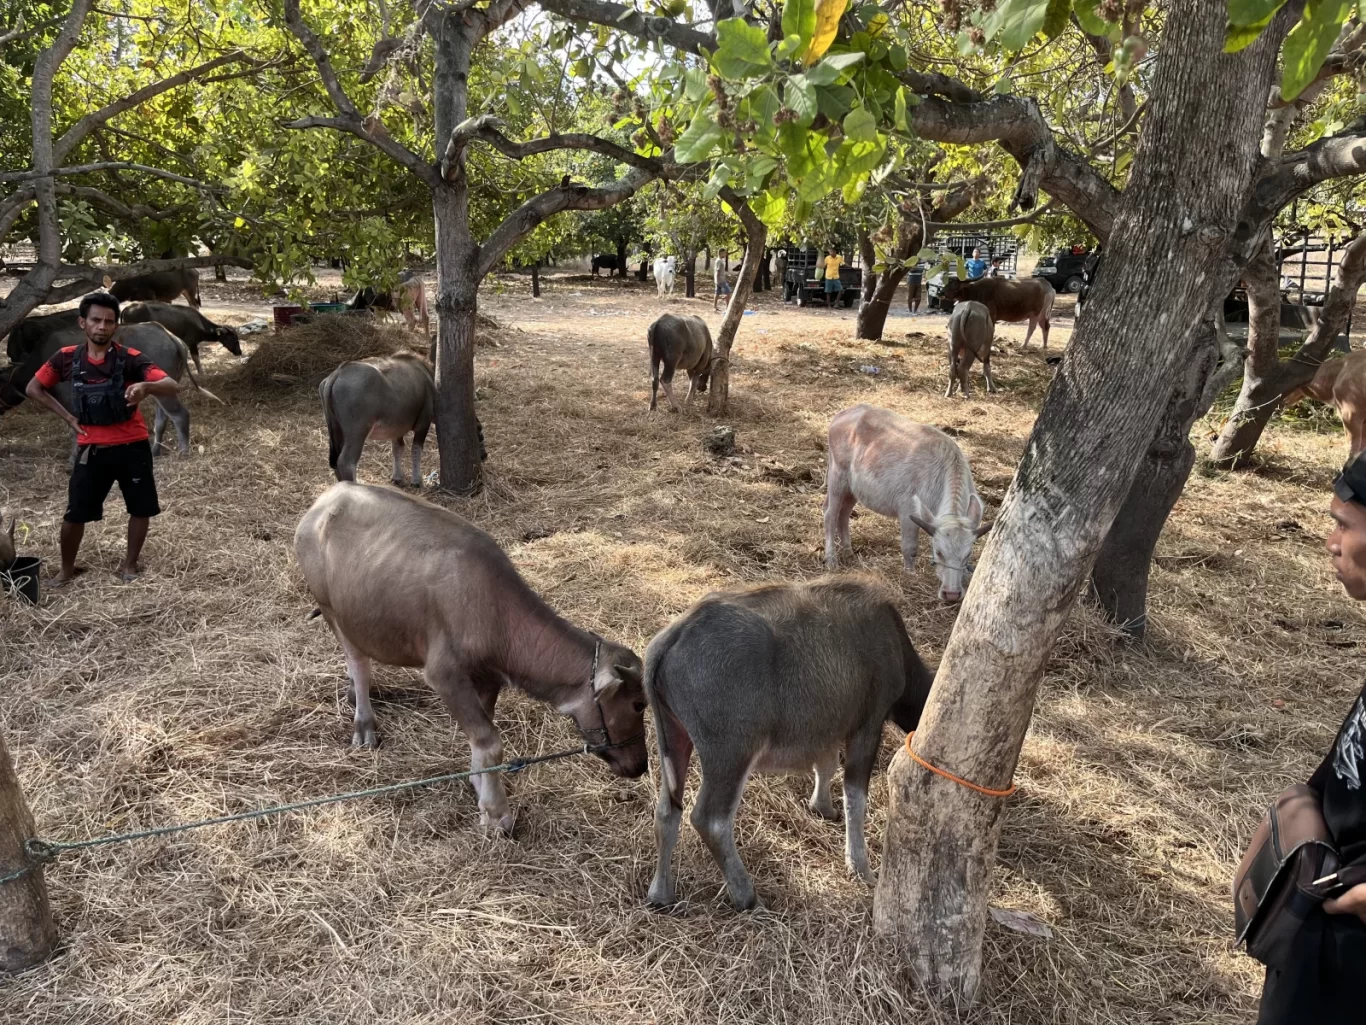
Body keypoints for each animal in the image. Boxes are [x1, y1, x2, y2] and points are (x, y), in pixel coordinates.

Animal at [294, 482, 649, 833]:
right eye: (637, 704)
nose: (641, 766)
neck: (497, 613)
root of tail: (329, 496)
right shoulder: (444, 675)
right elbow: (489, 740)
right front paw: (497, 813)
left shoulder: (488, 678)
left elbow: (482, 735)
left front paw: (479, 786)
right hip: (330, 608)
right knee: (358, 662)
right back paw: (364, 723)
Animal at [319, 352, 435, 486]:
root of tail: (339, 372)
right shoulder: (423, 424)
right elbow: (416, 450)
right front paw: (416, 481)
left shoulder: (397, 430)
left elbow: (397, 448)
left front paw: (397, 477)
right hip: (357, 433)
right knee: (346, 462)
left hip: (336, 430)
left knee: (336, 462)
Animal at [643, 576, 933, 909]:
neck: (895, 644)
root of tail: (675, 635)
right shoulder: (867, 726)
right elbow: (855, 795)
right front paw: (861, 867)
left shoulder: (827, 728)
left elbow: (826, 765)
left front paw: (822, 807)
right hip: (730, 754)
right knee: (710, 820)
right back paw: (746, 895)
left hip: (673, 737)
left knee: (667, 811)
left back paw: (661, 893)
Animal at [823, 404, 990, 603]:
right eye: (938, 551)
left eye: (968, 554)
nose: (951, 594)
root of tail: (844, 413)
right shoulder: (907, 512)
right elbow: (910, 547)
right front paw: (910, 574)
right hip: (837, 477)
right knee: (830, 515)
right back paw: (831, 559)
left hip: (853, 488)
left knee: (844, 514)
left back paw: (848, 551)